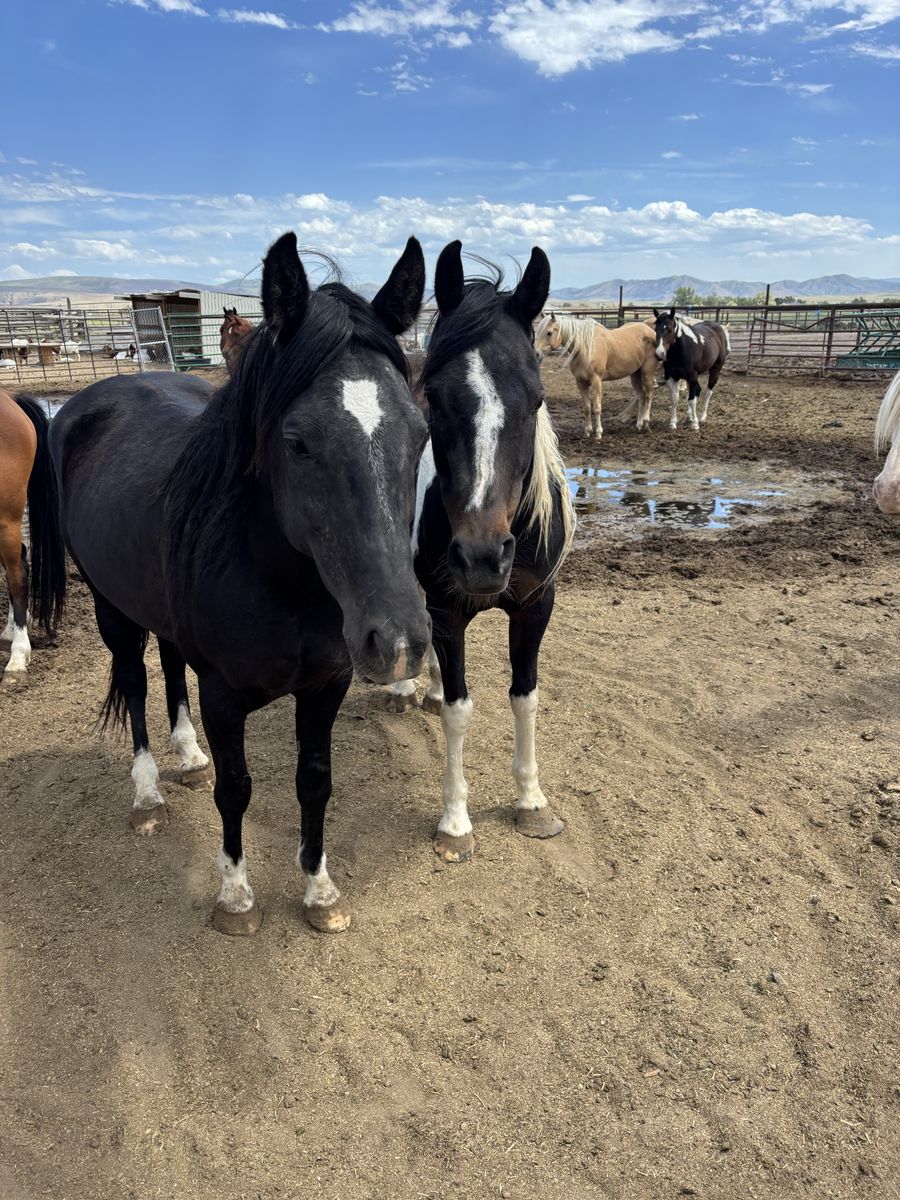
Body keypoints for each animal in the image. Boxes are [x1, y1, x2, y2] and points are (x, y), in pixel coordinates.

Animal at [50, 231, 431, 936]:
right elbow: (238, 790)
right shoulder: (224, 695)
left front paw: (320, 890)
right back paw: (148, 792)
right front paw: (235, 897)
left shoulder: (326, 686)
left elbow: (315, 781)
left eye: (420, 434)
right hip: (111, 607)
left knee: (170, 664)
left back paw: (187, 757)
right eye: (297, 441)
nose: (398, 642)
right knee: (136, 681)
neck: (283, 586)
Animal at [389, 241, 575, 861]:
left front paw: (532, 802)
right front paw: (455, 822)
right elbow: (459, 711)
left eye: (536, 398)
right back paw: (405, 688)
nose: (481, 558)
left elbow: (525, 697)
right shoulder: (448, 610)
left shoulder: (536, 607)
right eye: (436, 397)